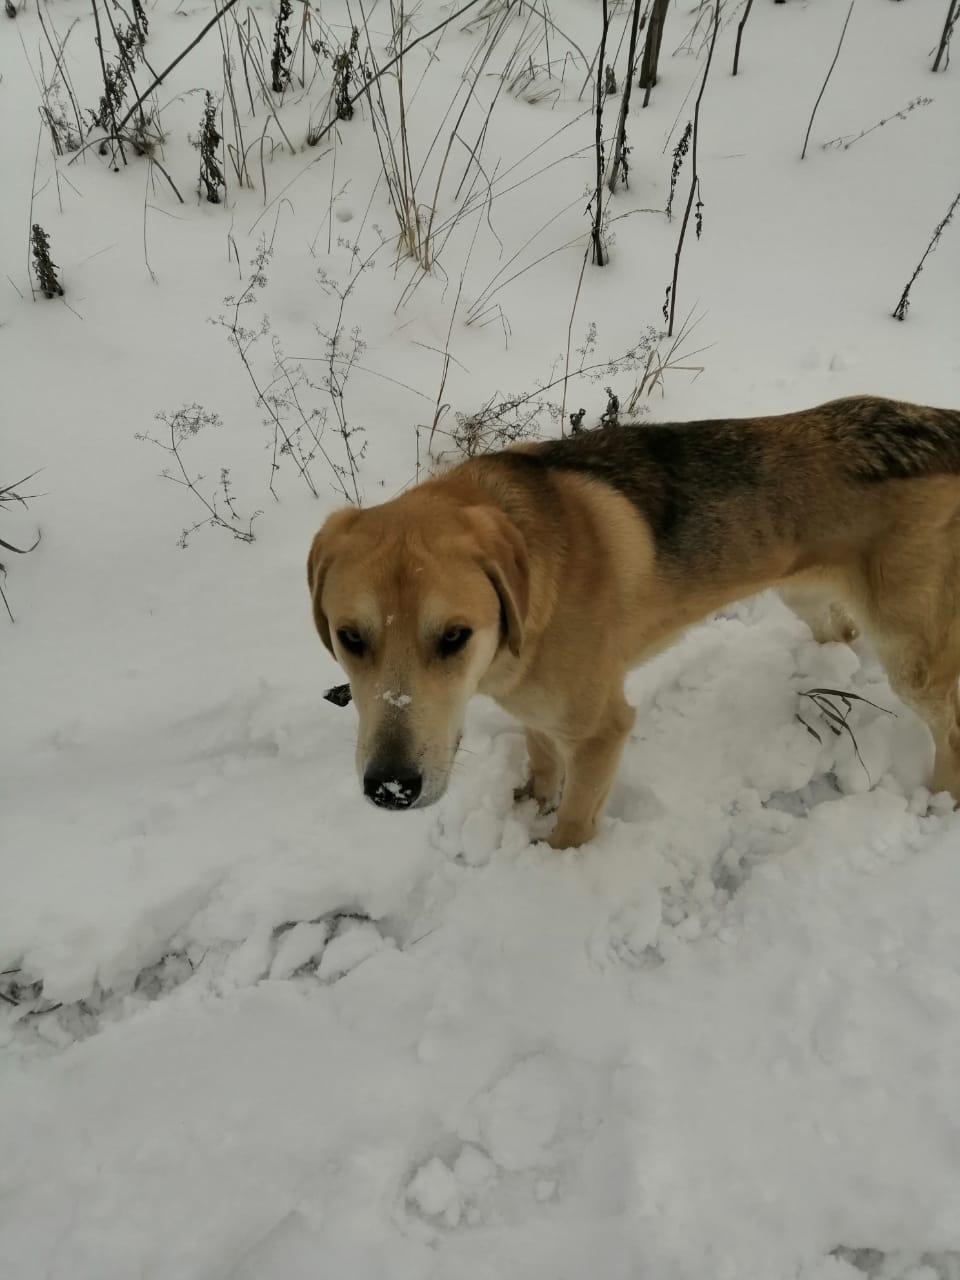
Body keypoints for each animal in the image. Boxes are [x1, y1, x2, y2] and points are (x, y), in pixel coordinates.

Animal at [305, 394, 960, 844]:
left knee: (948, 727)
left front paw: (554, 867)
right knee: (841, 634)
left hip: (913, 654)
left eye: (454, 637)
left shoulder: (602, 731)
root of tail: (939, 421)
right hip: (802, 591)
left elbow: (573, 824)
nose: (390, 789)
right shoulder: (537, 707)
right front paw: (531, 801)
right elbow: (542, 758)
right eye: (350, 637)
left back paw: (937, 805)